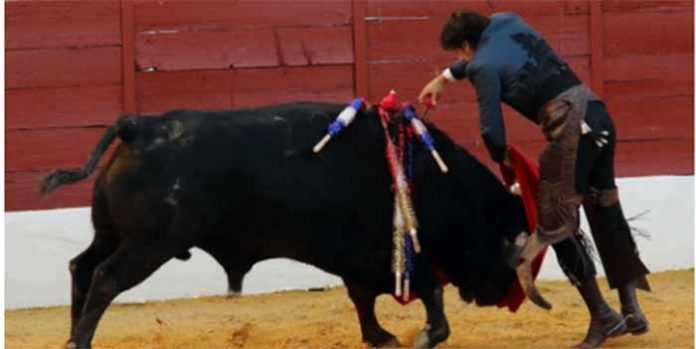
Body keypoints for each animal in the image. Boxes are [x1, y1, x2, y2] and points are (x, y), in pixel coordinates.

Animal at [42, 102, 544, 348]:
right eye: (509, 249)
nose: (499, 297)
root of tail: (139, 126)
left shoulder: (361, 260)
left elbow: (363, 299)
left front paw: (380, 337)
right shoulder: (401, 255)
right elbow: (431, 300)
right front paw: (422, 337)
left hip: (112, 234)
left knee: (81, 268)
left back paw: (71, 335)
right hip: (149, 245)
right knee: (105, 279)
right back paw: (80, 342)